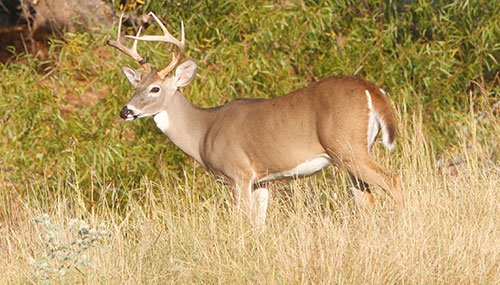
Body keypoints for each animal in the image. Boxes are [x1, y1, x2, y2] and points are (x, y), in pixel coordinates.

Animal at [108, 12, 402, 224]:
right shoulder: (262, 179)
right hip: (351, 153)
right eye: (135, 86)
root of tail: (373, 91)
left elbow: (243, 222)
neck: (203, 131)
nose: (126, 111)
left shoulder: (238, 173)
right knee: (366, 200)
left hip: (348, 148)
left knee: (392, 180)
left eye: (154, 88)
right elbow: (259, 224)